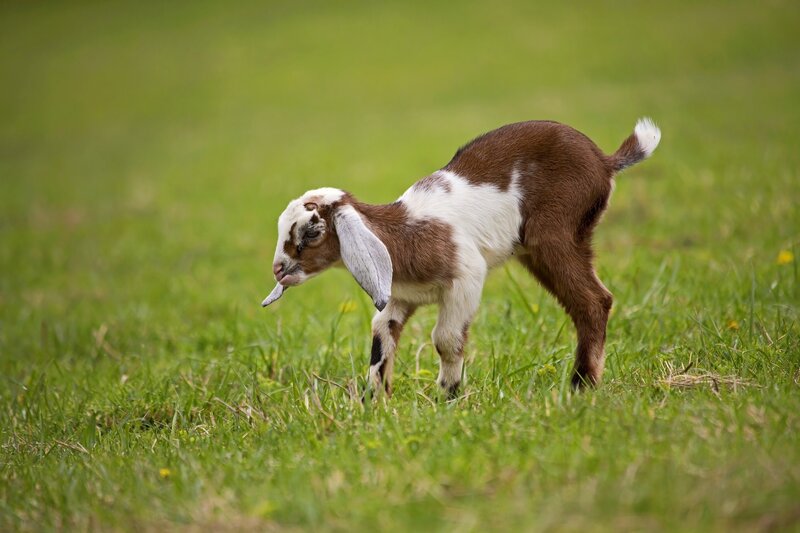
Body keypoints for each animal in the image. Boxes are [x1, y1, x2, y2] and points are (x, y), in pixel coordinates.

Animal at [262, 118, 661, 397]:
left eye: (310, 233)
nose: (279, 270)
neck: (405, 232)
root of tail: (605, 160)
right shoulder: (400, 295)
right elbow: (381, 333)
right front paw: (373, 400)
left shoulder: (467, 276)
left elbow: (446, 337)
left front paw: (448, 395)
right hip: (540, 249)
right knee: (586, 303)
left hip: (556, 233)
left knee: (594, 301)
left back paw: (581, 386)